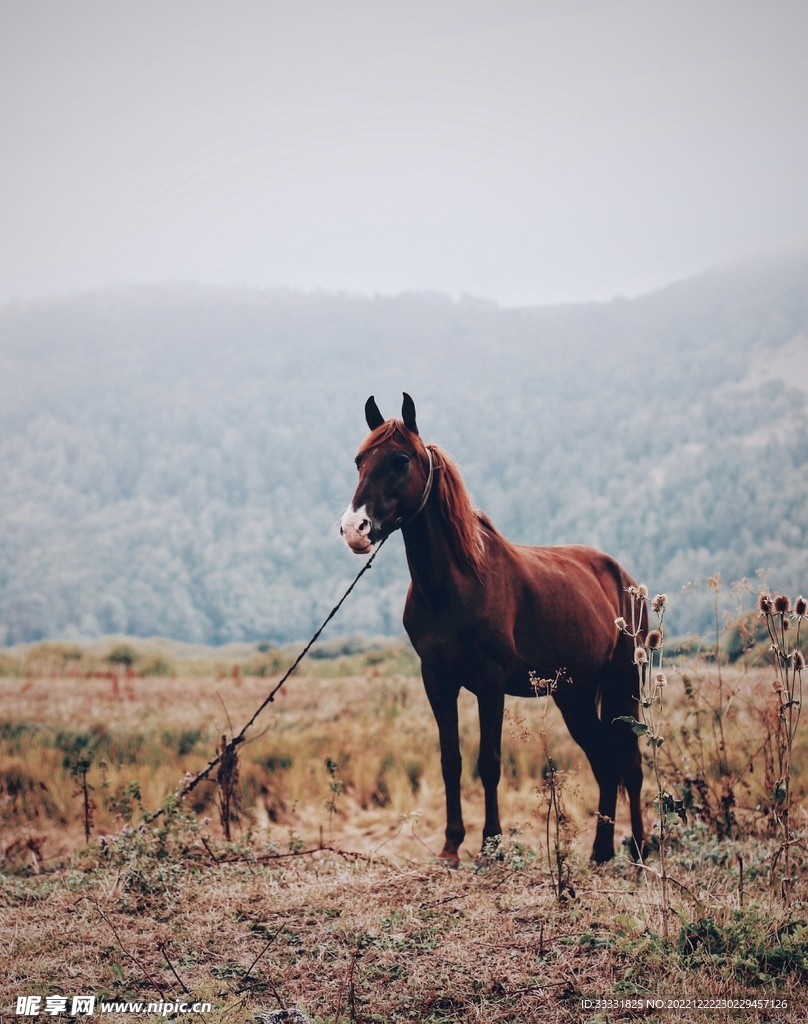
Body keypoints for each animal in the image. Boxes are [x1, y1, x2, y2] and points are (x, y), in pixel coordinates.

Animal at [340, 393, 646, 864]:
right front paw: (450, 847)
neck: (455, 583)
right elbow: (451, 760)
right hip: (574, 694)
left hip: (624, 683)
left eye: (400, 460)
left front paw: (491, 846)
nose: (354, 529)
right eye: (359, 460)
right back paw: (600, 852)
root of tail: (625, 579)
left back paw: (643, 850)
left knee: (630, 763)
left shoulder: (490, 682)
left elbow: (489, 761)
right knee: (604, 761)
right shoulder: (437, 680)